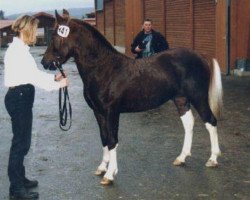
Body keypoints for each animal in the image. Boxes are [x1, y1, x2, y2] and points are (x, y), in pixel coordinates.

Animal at [41, 9, 223, 184]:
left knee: (211, 121)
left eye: (56, 36)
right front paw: (102, 167)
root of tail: (201, 57)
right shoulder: (98, 112)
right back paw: (182, 157)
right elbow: (104, 138)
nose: (45, 62)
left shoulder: (111, 112)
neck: (104, 69)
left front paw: (110, 174)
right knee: (189, 123)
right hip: (181, 99)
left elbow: (112, 140)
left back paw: (213, 159)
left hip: (199, 97)